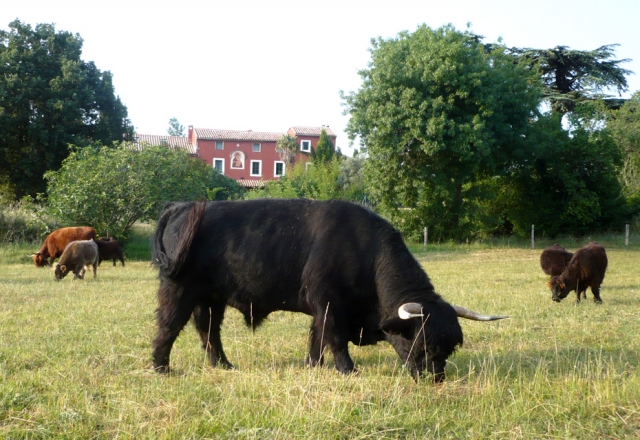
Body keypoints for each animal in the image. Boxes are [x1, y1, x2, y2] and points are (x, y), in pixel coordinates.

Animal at [152, 199, 508, 382]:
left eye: (449, 349)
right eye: (423, 344)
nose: (435, 378)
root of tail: (181, 207)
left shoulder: (319, 308)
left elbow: (317, 338)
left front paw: (313, 365)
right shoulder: (328, 302)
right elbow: (334, 338)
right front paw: (347, 370)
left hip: (210, 298)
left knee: (208, 330)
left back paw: (222, 365)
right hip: (179, 289)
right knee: (168, 326)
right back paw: (161, 368)